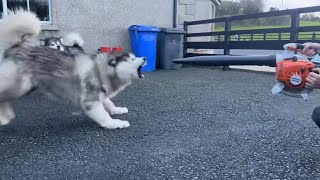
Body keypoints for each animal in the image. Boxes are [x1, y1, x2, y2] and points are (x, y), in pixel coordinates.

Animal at [0, 10, 147, 129]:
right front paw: (115, 123)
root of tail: (16, 47)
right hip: (20, 85)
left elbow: (108, 103)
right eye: (132, 59)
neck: (101, 70)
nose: (145, 57)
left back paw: (5, 116)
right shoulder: (90, 101)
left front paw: (117, 110)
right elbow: (104, 115)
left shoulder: (100, 93)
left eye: (135, 56)